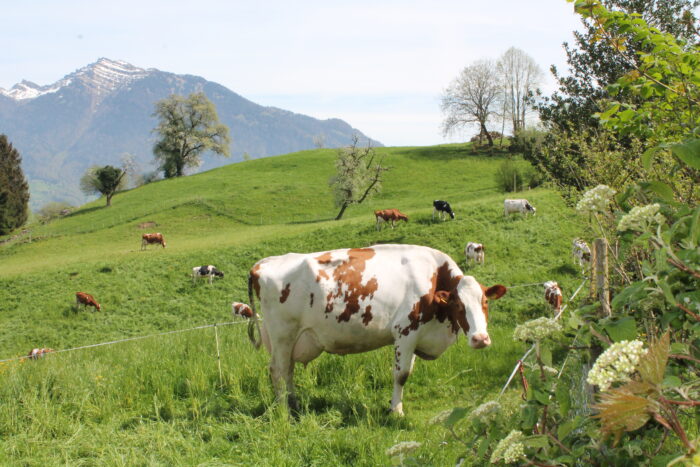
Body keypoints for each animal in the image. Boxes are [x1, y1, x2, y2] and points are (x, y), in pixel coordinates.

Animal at [238, 243, 506, 414]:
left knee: (288, 371)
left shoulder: (417, 336)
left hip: (290, 340)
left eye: (484, 302)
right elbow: (401, 375)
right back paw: (284, 410)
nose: (480, 339)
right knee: (278, 370)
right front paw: (396, 410)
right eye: (458, 305)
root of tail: (264, 263)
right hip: (283, 335)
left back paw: (292, 403)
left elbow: (407, 372)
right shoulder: (405, 332)